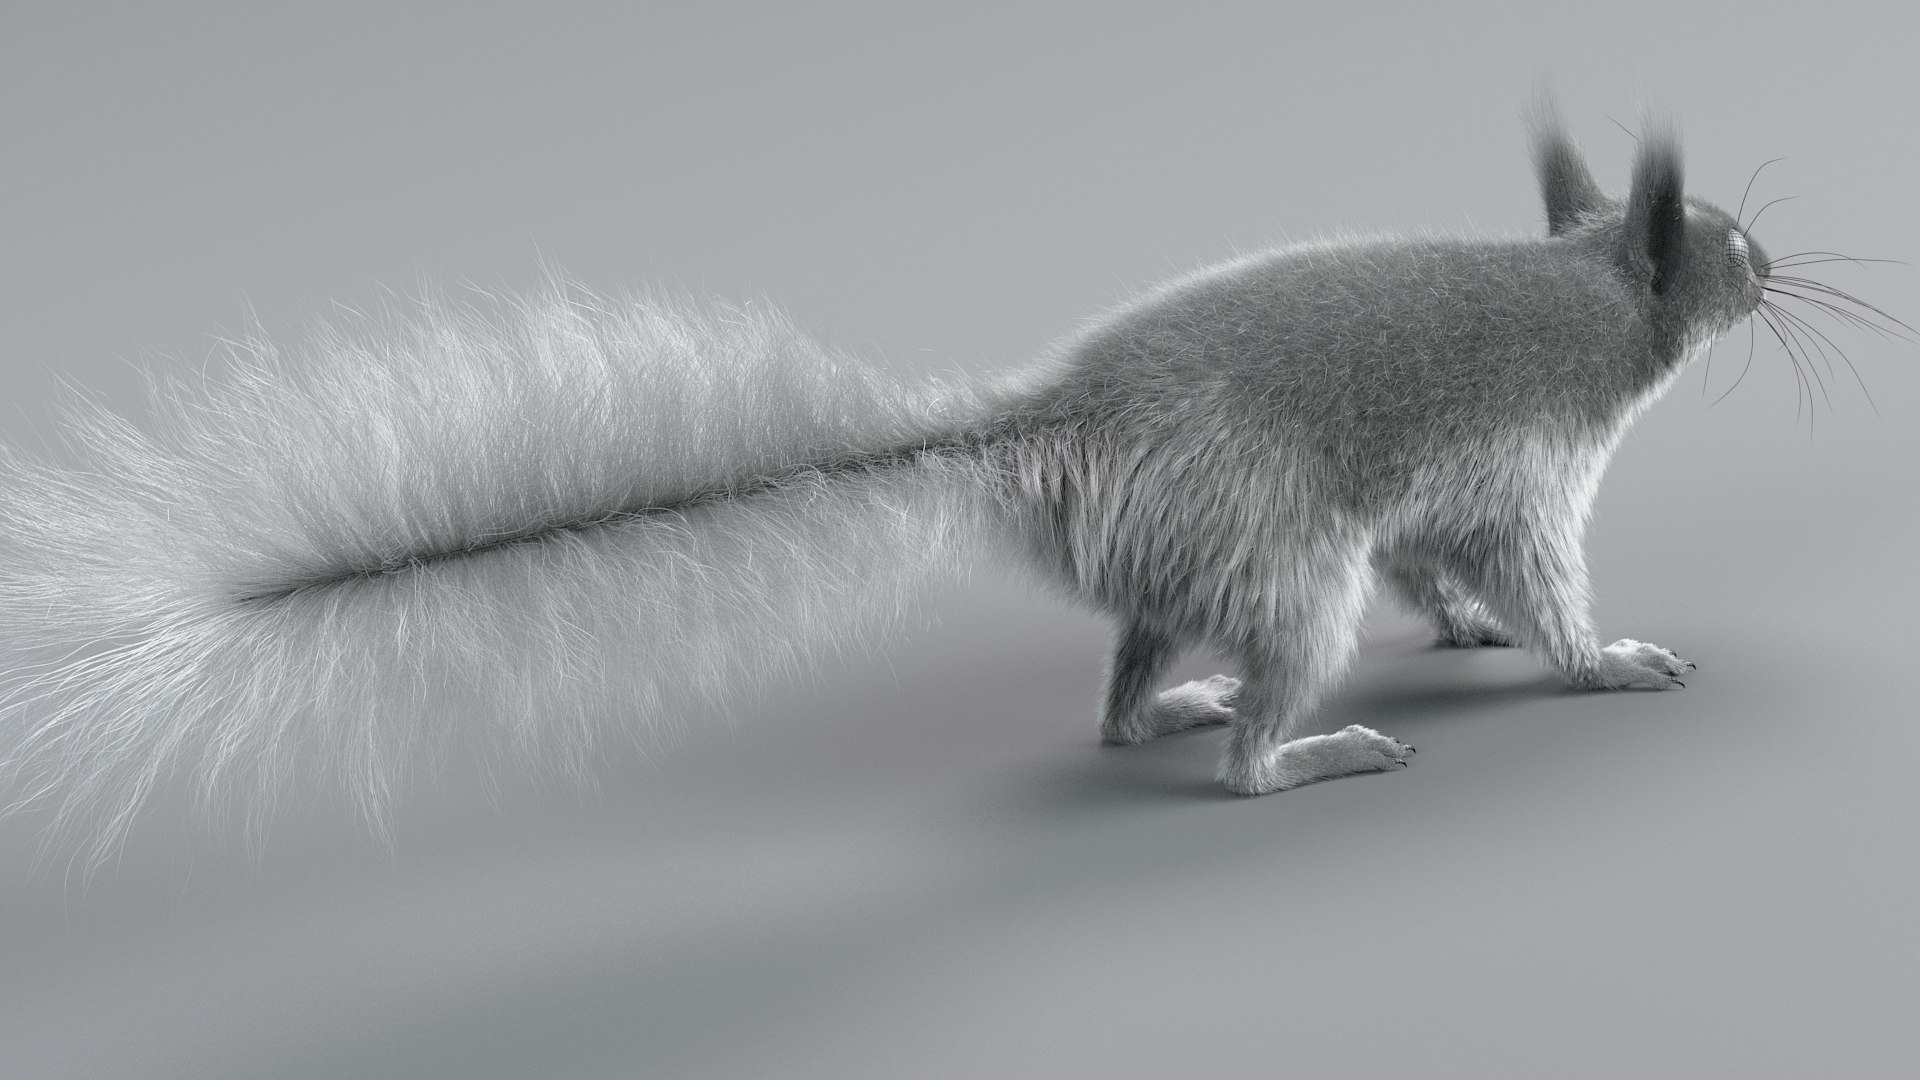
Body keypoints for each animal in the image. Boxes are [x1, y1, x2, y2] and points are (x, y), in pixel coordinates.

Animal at [0, 101, 1844, 861]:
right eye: (1723, 242)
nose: (1778, 268)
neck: (1598, 290)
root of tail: (1056, 431)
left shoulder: (1447, 500)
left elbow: (1448, 566)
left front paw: (1464, 631)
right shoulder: (1526, 476)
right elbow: (1540, 589)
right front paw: (1604, 659)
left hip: (1209, 563)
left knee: (1121, 692)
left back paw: (1175, 704)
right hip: (1287, 566)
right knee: (1244, 752)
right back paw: (1309, 748)